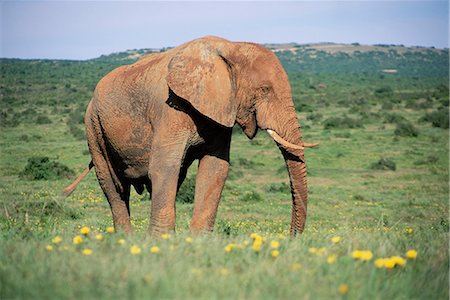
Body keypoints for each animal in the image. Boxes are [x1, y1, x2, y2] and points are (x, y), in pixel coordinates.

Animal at [63, 36, 318, 236]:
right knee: (113, 186)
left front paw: (197, 242)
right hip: (93, 126)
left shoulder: (220, 110)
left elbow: (215, 168)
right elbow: (164, 167)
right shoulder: (170, 108)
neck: (230, 47)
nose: (291, 237)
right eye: (264, 90)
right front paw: (161, 243)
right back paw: (125, 240)